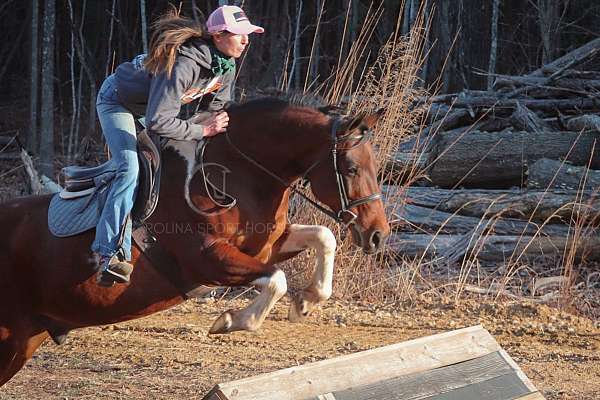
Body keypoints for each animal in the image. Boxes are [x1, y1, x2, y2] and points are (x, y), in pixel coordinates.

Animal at [0, 96, 390, 384]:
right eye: (351, 169)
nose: (378, 235)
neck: (237, 174)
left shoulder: (266, 246)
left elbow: (324, 238)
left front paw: (306, 302)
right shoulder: (208, 259)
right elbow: (276, 280)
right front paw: (231, 321)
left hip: (24, 339)